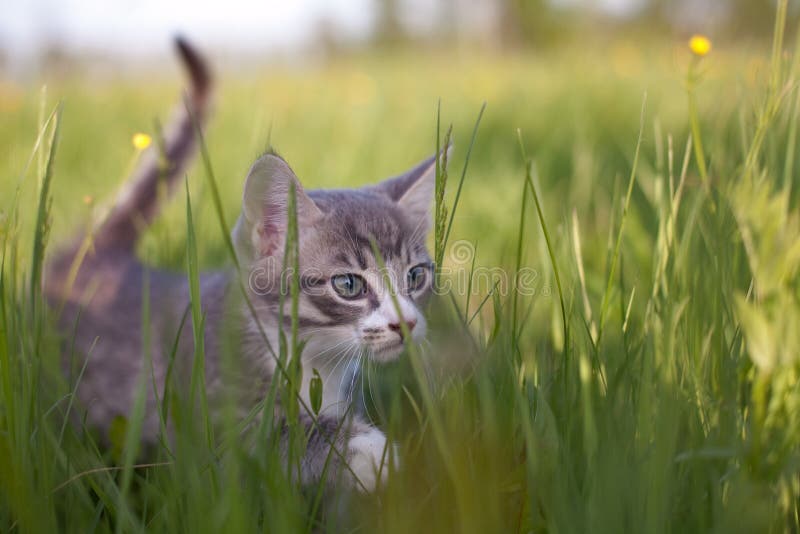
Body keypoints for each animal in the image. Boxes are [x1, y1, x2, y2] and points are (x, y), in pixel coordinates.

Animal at [43, 37, 444, 494]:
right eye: (348, 285)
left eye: (416, 276)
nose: (406, 323)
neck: (313, 361)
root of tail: (94, 251)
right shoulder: (206, 421)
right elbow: (272, 438)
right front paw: (374, 451)